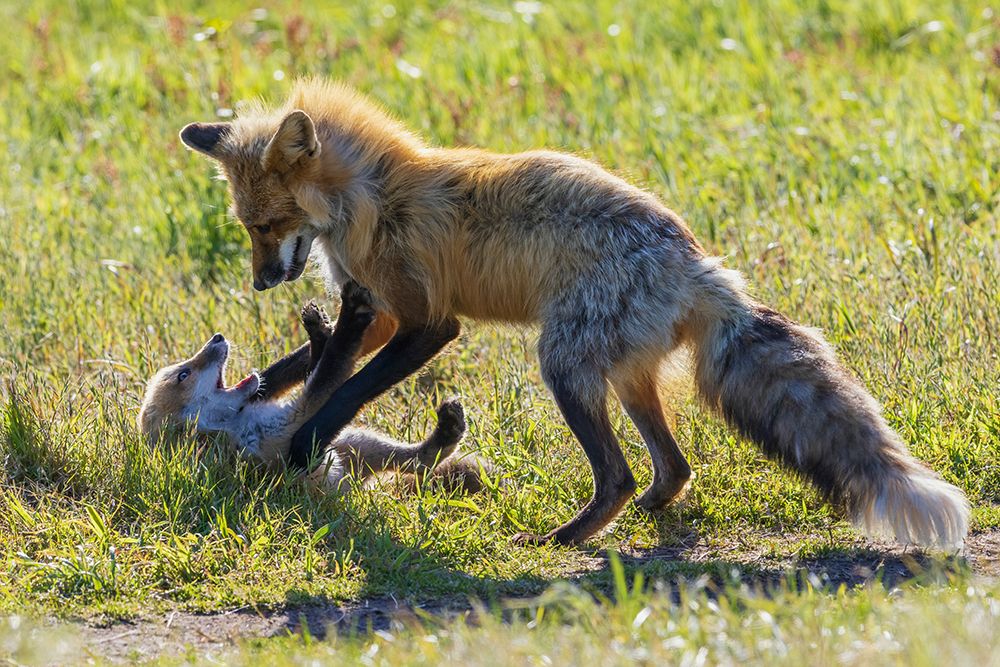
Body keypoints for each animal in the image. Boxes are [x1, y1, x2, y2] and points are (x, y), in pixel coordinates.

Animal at [138, 282, 484, 493]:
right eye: (184, 375)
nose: (217, 337)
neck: (237, 427)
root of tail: (353, 487)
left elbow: (315, 366)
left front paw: (319, 331)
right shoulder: (289, 427)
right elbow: (330, 369)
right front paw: (349, 321)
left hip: (353, 441)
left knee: (420, 459)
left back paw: (448, 429)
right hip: (343, 445)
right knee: (424, 461)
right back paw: (449, 429)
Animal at [179, 78, 969, 548]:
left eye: (267, 224)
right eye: (246, 225)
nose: (258, 284)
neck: (372, 199)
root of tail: (699, 263)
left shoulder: (428, 320)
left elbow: (347, 391)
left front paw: (306, 443)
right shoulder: (377, 311)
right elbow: (305, 365)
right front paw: (262, 386)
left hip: (562, 364)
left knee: (618, 472)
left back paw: (565, 538)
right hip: (622, 377)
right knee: (673, 466)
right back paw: (647, 513)